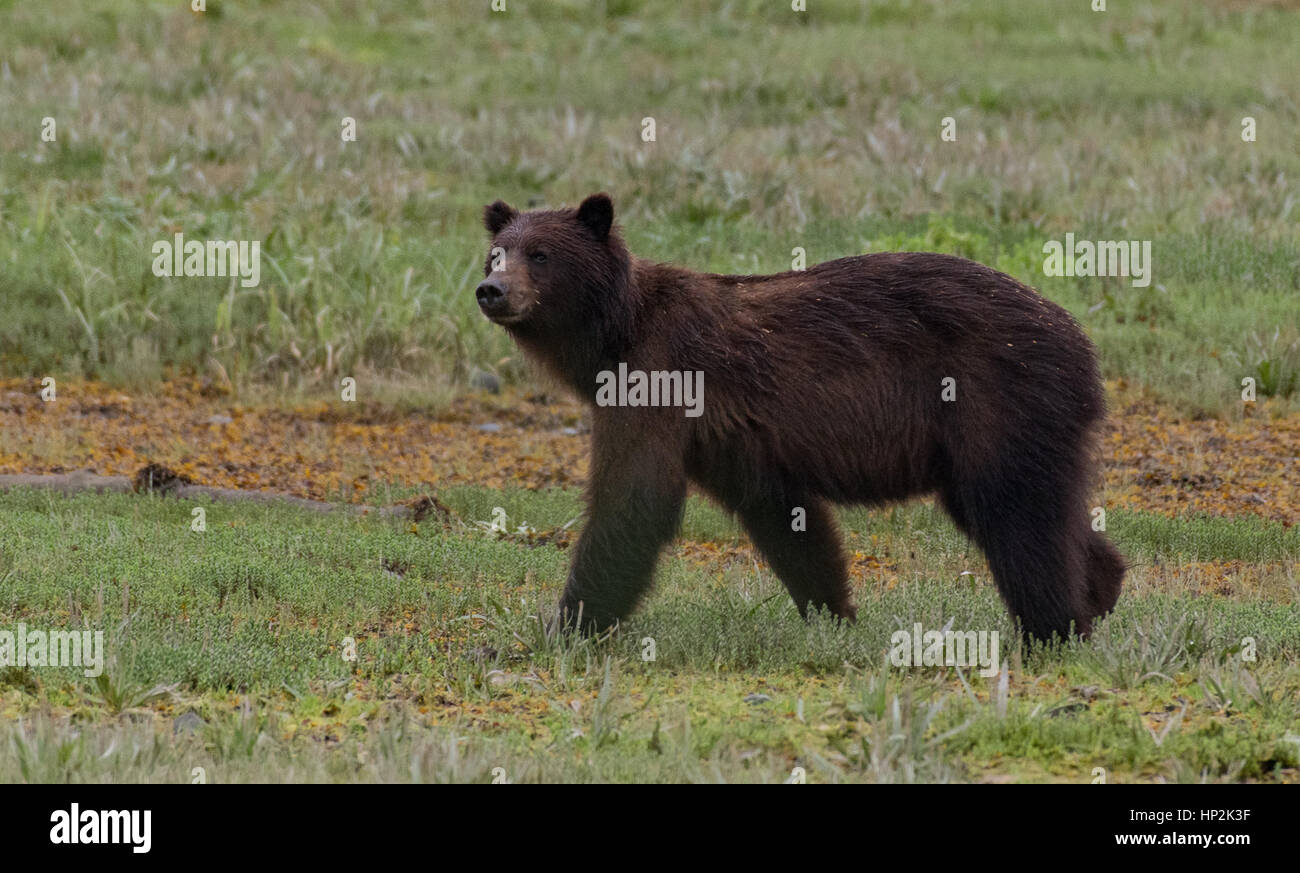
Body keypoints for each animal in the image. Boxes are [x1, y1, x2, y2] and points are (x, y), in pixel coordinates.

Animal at [473, 194, 1123, 644]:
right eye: (496, 252)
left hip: (996, 396)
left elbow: (631, 500)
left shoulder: (659, 380)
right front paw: (834, 614)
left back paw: (1051, 628)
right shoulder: (728, 439)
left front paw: (566, 628)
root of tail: (1082, 341)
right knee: (1031, 509)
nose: (491, 290)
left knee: (1015, 513)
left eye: (541, 255)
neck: (614, 332)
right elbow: (785, 519)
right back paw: (1101, 586)